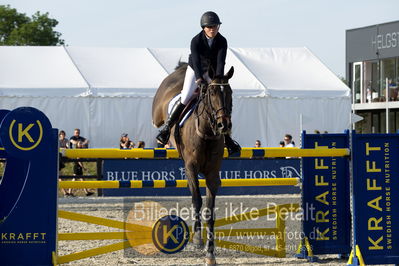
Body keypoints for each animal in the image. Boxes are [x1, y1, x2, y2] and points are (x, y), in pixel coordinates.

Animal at [152, 63, 234, 264]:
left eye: (230, 92)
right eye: (212, 93)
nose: (223, 125)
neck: (207, 132)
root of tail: (180, 69)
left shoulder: (212, 174)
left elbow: (209, 210)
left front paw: (210, 253)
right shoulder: (191, 167)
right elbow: (197, 200)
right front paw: (198, 238)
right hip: (158, 112)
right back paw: (162, 135)